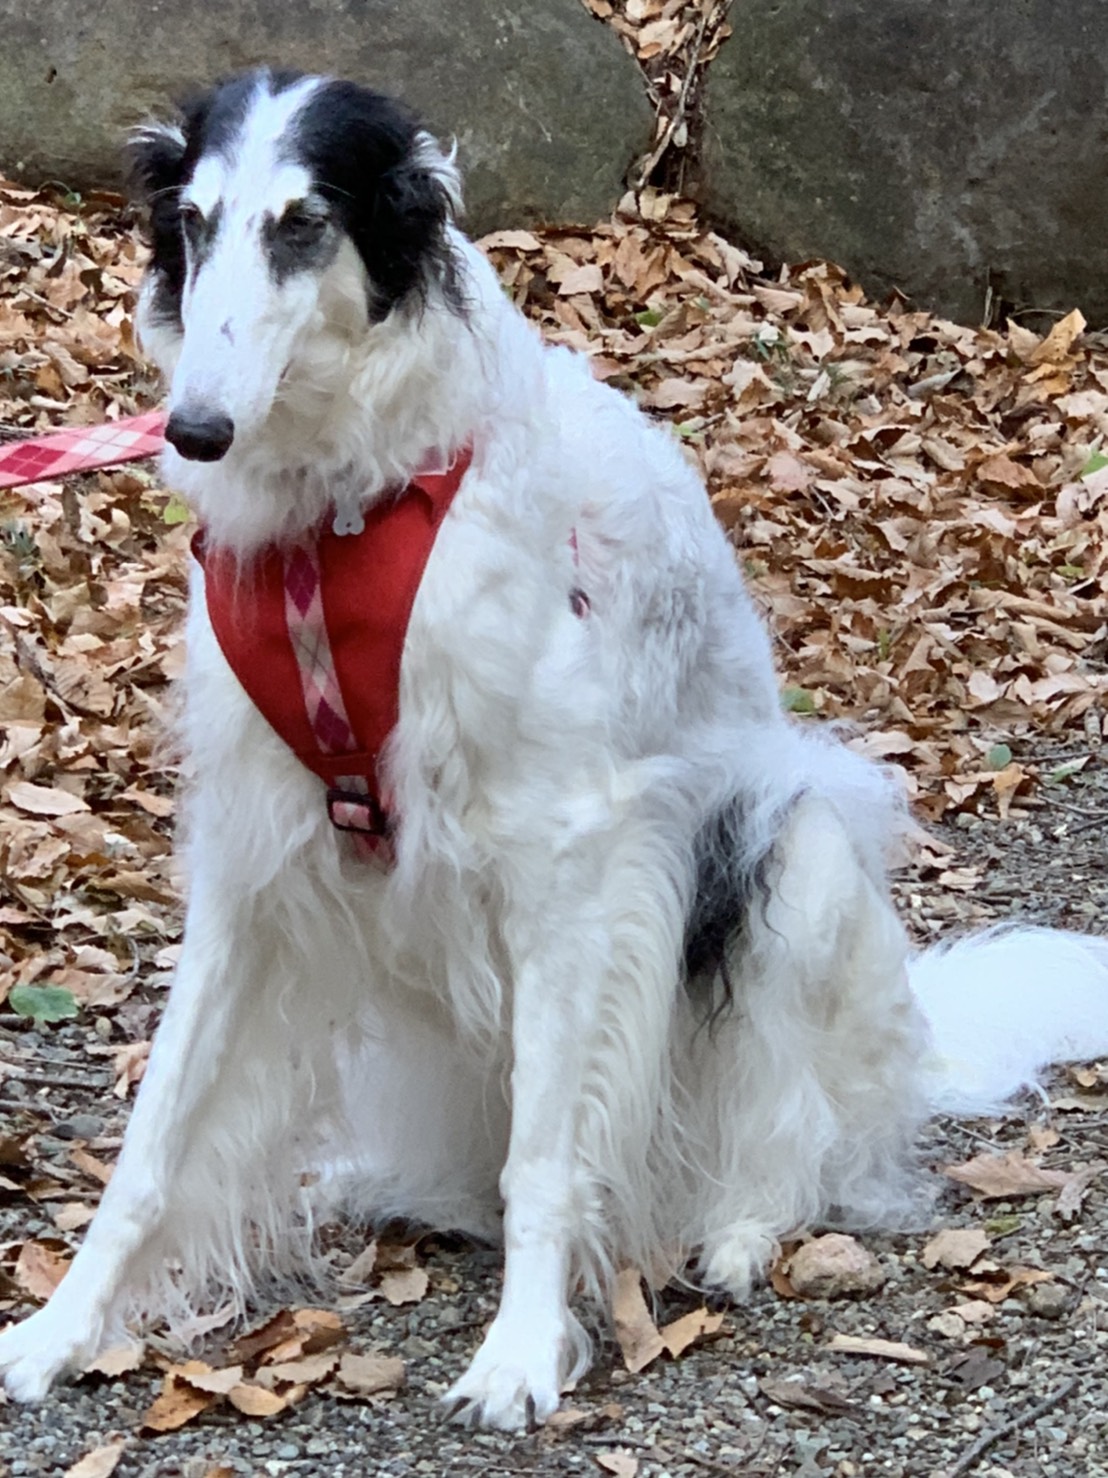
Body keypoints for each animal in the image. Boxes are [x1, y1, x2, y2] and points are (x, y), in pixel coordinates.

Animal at [2, 68, 1107, 1431]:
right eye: (194, 223)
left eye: (304, 223)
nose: (195, 428)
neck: (349, 512)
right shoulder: (251, 866)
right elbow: (151, 1149)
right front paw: (55, 1332)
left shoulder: (573, 865)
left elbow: (545, 1164)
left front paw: (519, 1354)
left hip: (790, 848)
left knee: (800, 1141)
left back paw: (740, 1226)